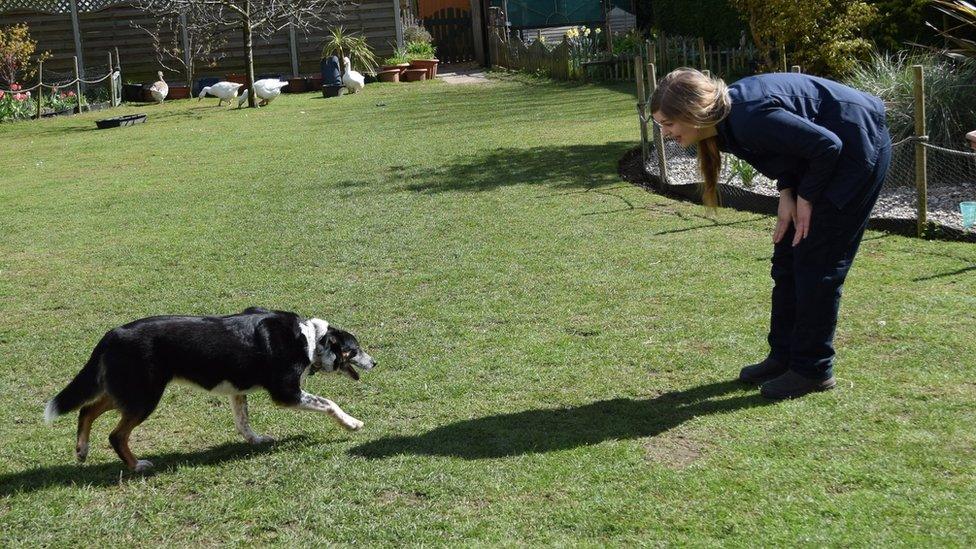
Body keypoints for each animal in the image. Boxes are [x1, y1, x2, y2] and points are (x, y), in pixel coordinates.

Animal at [43, 308, 376, 470]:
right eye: (356, 348)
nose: (375, 362)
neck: (310, 339)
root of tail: (112, 333)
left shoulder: (237, 391)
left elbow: (243, 423)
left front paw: (256, 441)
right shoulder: (287, 393)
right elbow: (329, 403)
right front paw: (352, 423)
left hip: (128, 391)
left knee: (87, 409)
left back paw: (82, 450)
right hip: (144, 395)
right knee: (115, 434)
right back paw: (137, 465)